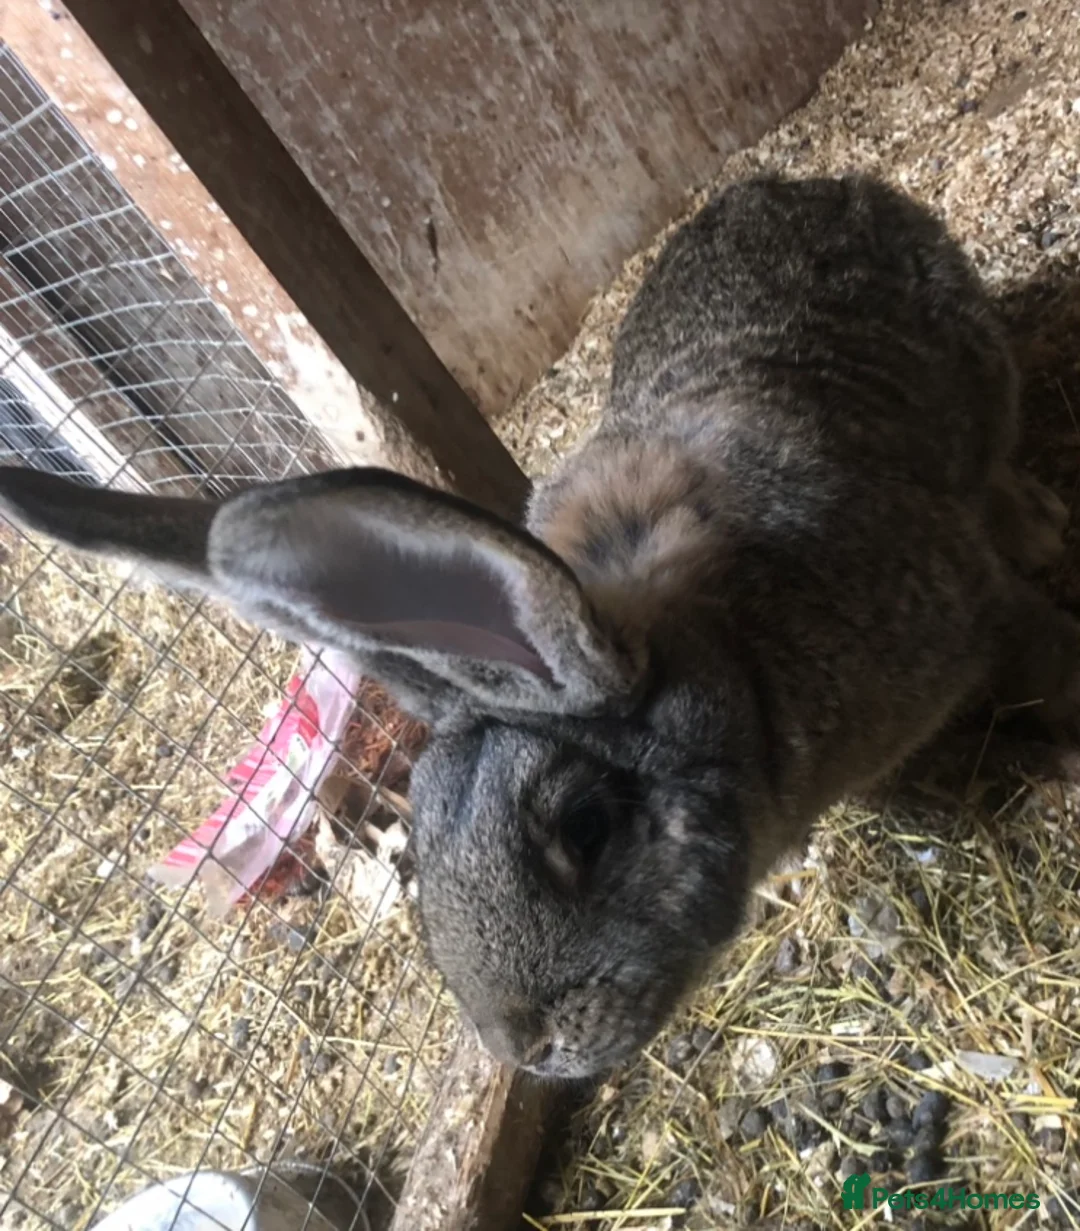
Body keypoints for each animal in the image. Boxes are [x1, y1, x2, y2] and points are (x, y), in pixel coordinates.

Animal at [1, 173, 1077, 1081]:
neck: (739, 668)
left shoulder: (967, 606)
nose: (530, 1053)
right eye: (424, 839)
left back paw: (1036, 517)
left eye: (586, 827)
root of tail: (810, 183)